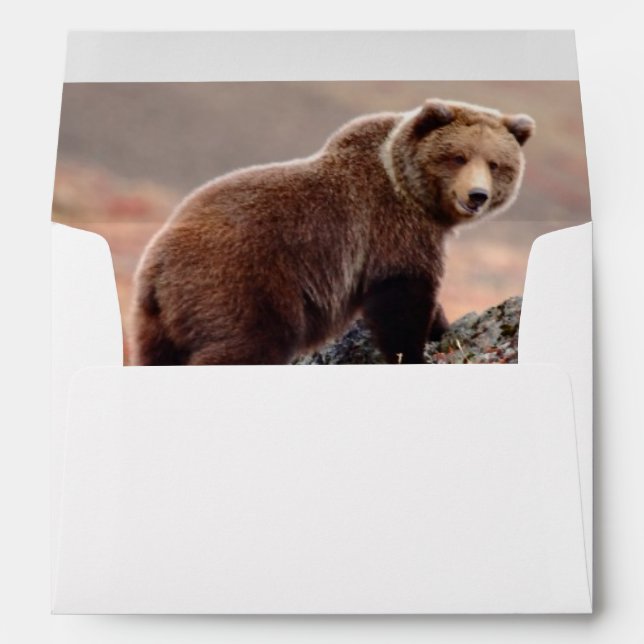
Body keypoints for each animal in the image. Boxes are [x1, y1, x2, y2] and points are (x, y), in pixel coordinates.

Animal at [130, 99, 535, 366]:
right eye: (457, 157)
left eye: (495, 164)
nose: (476, 195)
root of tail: (155, 265)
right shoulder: (389, 227)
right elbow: (401, 297)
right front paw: (414, 352)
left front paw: (440, 327)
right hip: (241, 284)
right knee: (248, 346)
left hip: (157, 322)